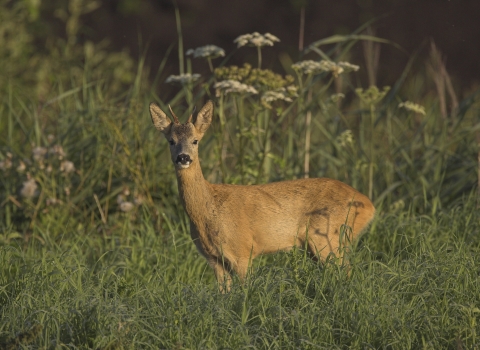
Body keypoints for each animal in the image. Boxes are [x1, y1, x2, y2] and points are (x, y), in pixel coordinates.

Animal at [150, 100, 376, 292]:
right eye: (171, 141)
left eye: (195, 141)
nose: (183, 157)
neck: (208, 210)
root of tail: (369, 205)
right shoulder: (214, 259)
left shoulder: (243, 251)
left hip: (327, 236)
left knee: (346, 272)